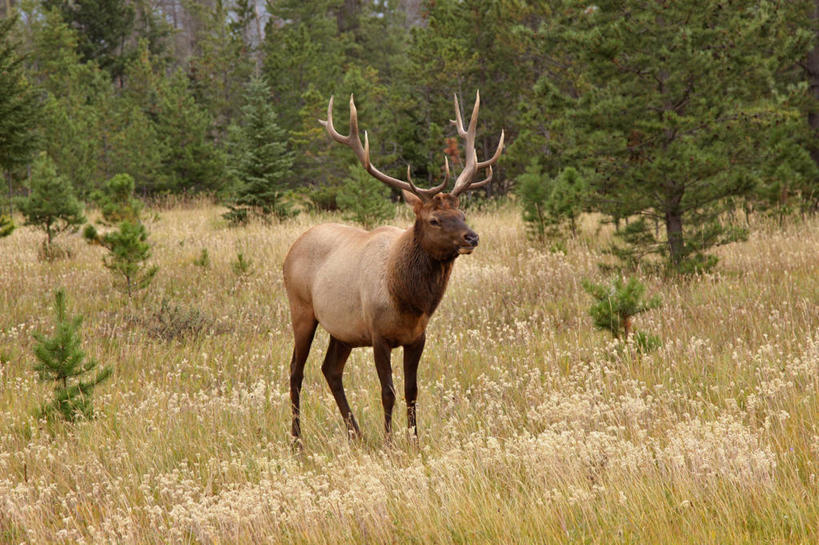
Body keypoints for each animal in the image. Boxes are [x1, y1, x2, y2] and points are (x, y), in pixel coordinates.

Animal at [286, 92, 502, 442]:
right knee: (296, 370)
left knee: (330, 370)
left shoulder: (417, 336)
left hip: (342, 331)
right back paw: (297, 440)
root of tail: (293, 247)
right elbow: (387, 392)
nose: (472, 237)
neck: (407, 298)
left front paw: (414, 440)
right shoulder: (378, 334)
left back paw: (356, 434)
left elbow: (411, 390)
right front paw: (389, 441)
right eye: (434, 219)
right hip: (302, 310)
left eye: (463, 214)